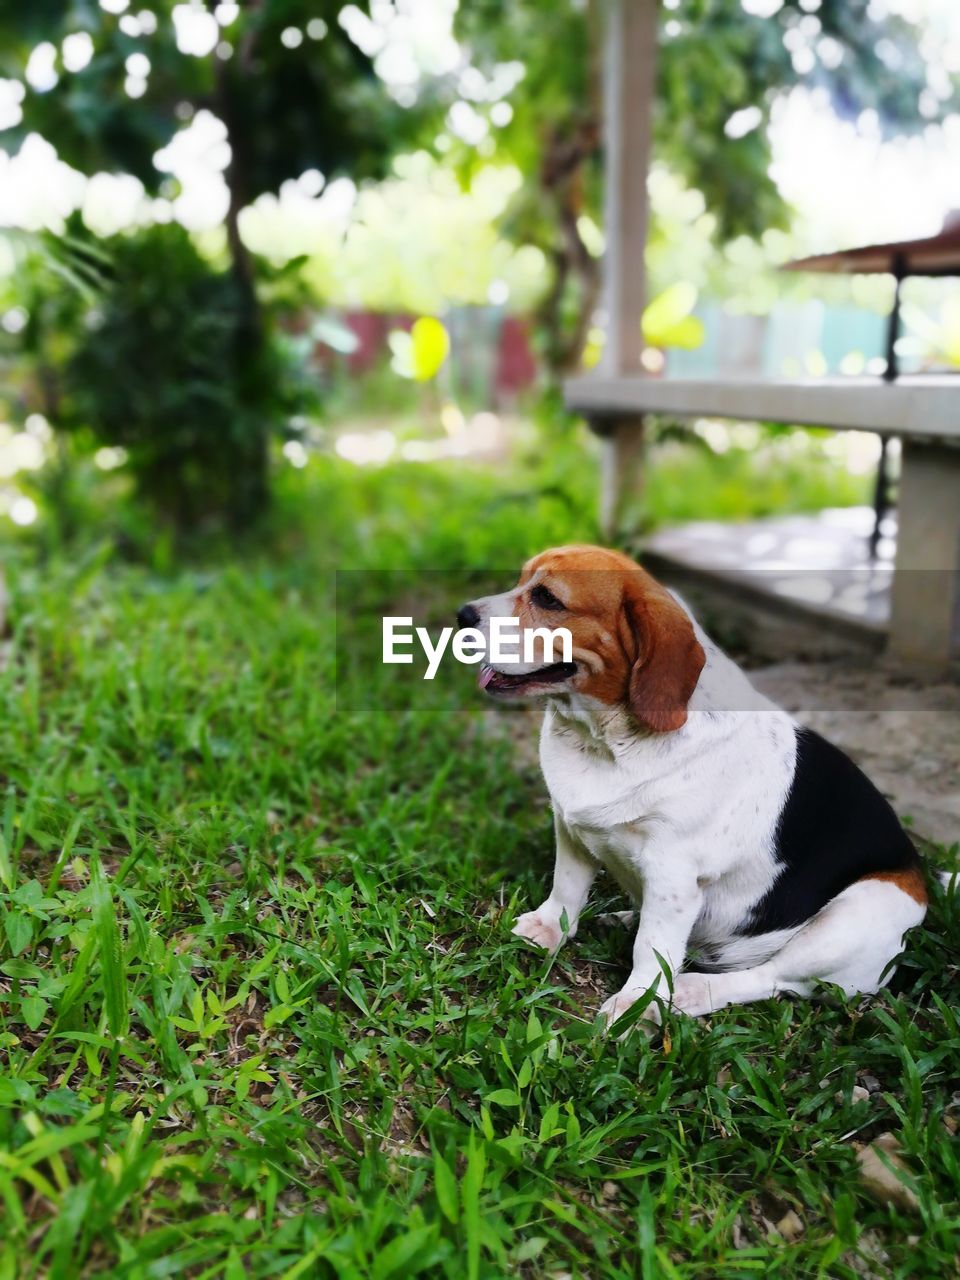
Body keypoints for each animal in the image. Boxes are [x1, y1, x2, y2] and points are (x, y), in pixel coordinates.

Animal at [458, 545, 931, 1024]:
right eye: (521, 581)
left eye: (548, 599)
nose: (463, 615)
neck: (603, 740)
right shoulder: (571, 828)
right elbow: (566, 888)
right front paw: (547, 929)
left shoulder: (674, 874)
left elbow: (652, 949)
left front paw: (637, 1005)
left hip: (854, 915)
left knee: (773, 978)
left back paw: (690, 991)